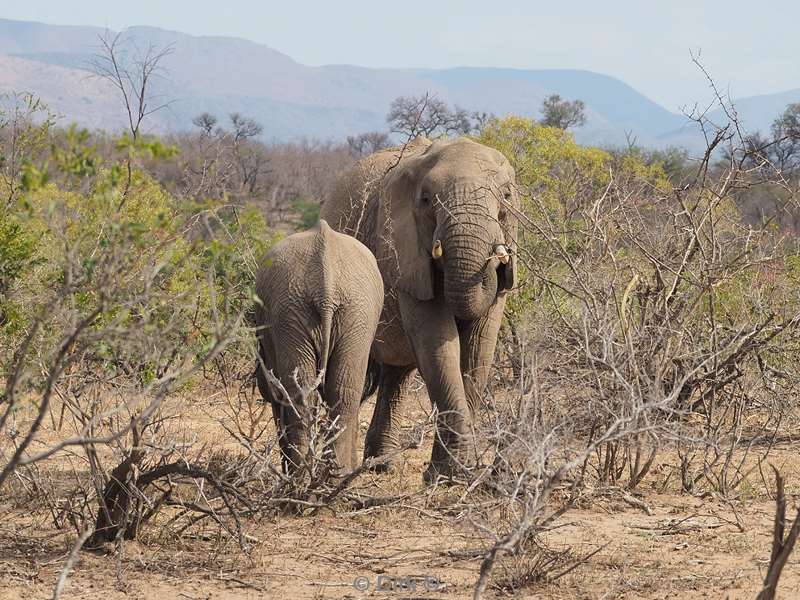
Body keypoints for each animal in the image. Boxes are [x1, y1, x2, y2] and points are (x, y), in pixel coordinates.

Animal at [255, 218, 382, 476]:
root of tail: (327, 286)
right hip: (348, 312)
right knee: (340, 391)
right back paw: (330, 476)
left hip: (297, 312)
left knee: (303, 393)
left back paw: (303, 477)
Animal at [320, 137, 520, 482]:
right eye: (426, 200)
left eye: (506, 196)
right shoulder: (404, 251)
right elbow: (438, 344)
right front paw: (449, 475)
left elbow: (479, 347)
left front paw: (455, 474)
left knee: (396, 372)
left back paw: (382, 465)